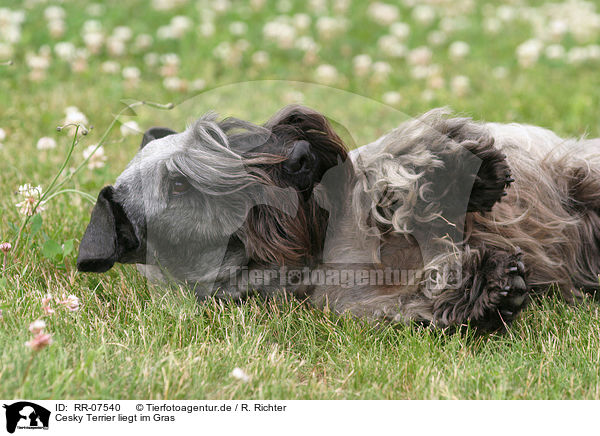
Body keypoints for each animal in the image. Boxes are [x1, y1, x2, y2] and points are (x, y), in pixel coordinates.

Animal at [77, 107, 600, 332]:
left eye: (220, 132)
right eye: (179, 187)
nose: (299, 157)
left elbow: (386, 166)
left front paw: (456, 168)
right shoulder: (362, 305)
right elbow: (418, 297)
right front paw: (487, 287)